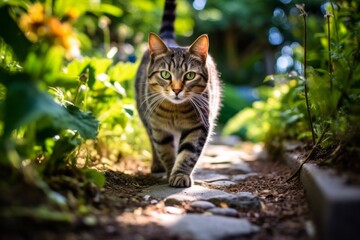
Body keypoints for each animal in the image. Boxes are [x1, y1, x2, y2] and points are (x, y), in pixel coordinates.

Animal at [134, 0, 221, 188]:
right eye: (165, 74)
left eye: (190, 75)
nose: (176, 90)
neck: (175, 110)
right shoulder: (158, 127)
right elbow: (165, 150)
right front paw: (169, 171)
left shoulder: (198, 126)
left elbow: (189, 152)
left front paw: (180, 174)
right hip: (144, 116)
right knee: (152, 142)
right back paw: (157, 164)